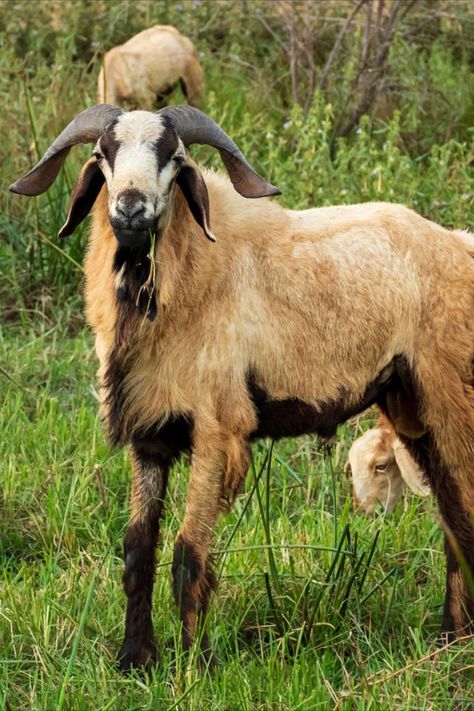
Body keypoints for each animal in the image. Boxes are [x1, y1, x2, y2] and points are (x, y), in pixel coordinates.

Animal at [10, 105, 474, 672]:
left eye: (175, 157)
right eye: (102, 154)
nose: (131, 207)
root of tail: (460, 242)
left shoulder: (217, 425)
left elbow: (189, 552)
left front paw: (193, 666)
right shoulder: (149, 433)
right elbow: (138, 548)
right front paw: (134, 658)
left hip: (448, 392)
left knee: (463, 516)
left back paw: (454, 638)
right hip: (412, 405)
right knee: (454, 518)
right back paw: (452, 638)